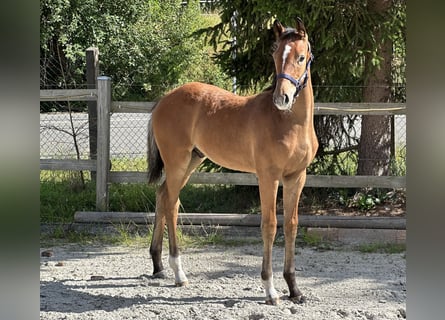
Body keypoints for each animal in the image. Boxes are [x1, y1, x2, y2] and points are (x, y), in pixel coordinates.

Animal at [146, 18, 316, 304]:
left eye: (301, 57)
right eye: (274, 55)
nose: (281, 98)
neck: (289, 123)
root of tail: (163, 100)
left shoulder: (296, 176)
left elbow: (291, 226)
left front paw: (295, 290)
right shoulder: (268, 177)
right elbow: (269, 225)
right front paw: (270, 290)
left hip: (192, 160)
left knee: (162, 195)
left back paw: (158, 265)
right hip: (177, 161)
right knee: (171, 204)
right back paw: (179, 272)